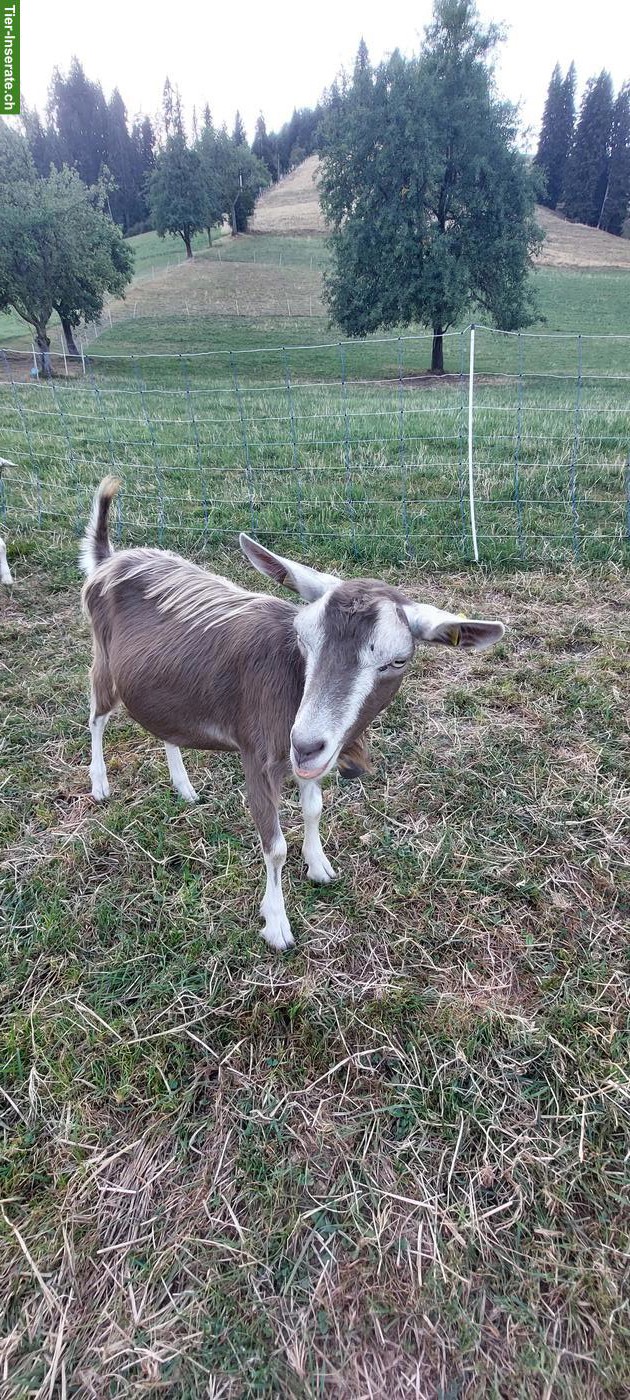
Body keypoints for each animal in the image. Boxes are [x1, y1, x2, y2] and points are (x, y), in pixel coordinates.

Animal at [80, 477, 505, 950]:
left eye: (397, 660)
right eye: (303, 638)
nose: (302, 744)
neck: (289, 681)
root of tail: (108, 559)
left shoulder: (316, 758)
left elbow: (314, 808)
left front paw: (319, 867)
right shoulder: (256, 755)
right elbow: (275, 845)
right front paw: (277, 925)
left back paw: (184, 787)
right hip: (104, 664)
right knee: (96, 717)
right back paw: (100, 785)